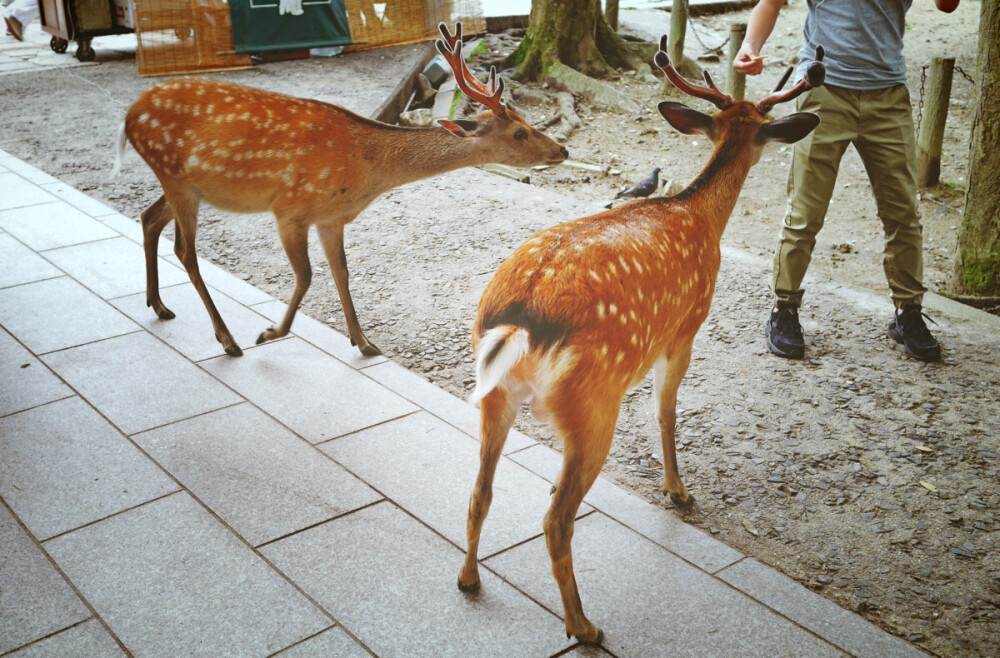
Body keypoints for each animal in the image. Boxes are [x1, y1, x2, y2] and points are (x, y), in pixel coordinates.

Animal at [113, 23, 568, 356]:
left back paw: (159, 305)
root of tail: (130, 115)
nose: (562, 149)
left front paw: (364, 342)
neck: (366, 172)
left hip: (184, 183)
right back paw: (228, 340)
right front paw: (270, 333)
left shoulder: (331, 218)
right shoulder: (290, 209)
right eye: (519, 132)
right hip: (174, 175)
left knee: (149, 217)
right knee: (185, 250)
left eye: (527, 121)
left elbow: (343, 273)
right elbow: (307, 276)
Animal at [460, 37, 828, 640]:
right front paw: (678, 489)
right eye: (760, 129)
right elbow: (666, 410)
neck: (699, 213)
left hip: (494, 391)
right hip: (592, 402)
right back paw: (583, 625)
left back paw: (469, 577)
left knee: (479, 490)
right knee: (556, 520)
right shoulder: (687, 326)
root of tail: (519, 319)